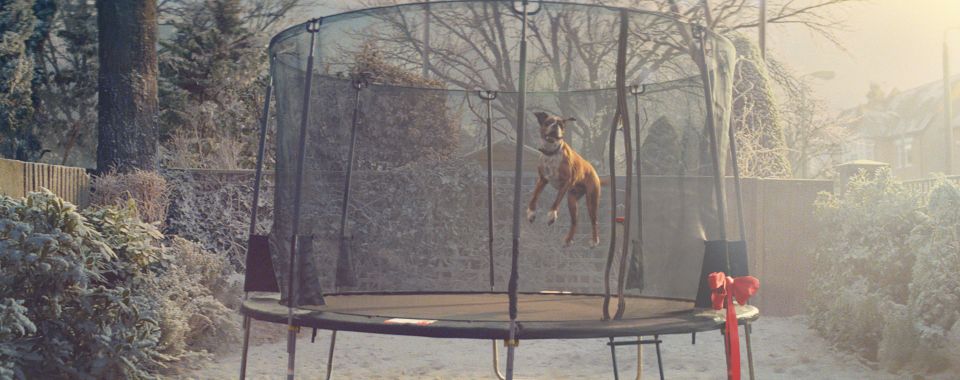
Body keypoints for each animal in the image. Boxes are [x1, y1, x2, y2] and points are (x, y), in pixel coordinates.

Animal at [524, 110, 600, 246]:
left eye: (561, 125)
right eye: (548, 122)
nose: (555, 125)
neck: (551, 153)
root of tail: (592, 169)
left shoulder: (566, 182)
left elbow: (557, 200)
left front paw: (551, 215)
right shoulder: (542, 179)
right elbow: (534, 196)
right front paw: (531, 213)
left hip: (591, 200)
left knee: (594, 221)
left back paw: (594, 241)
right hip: (572, 200)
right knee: (575, 222)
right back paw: (568, 240)